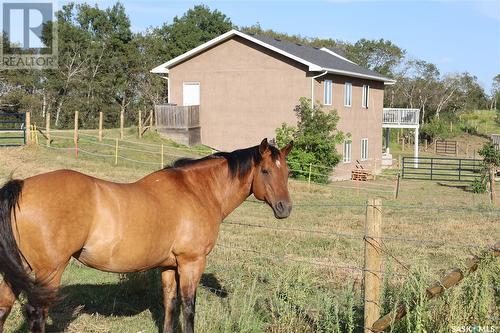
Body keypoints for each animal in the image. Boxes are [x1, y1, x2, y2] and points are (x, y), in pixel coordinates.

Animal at [0, 138, 292, 332]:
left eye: (287, 172)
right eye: (266, 171)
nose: (285, 208)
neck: (197, 190)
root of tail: (21, 186)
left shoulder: (168, 266)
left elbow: (170, 305)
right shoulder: (191, 262)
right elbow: (188, 308)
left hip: (19, 271)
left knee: (4, 307)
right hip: (50, 271)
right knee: (37, 313)